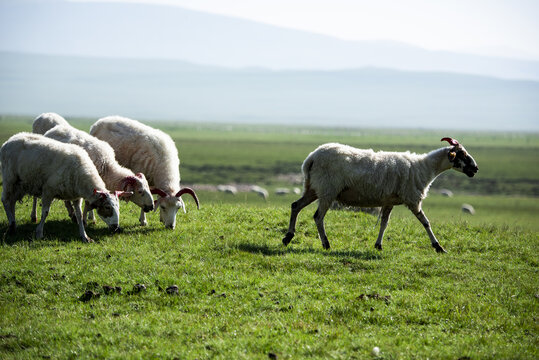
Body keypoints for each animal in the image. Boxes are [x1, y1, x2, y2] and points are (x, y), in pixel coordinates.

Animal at [280, 138, 478, 253]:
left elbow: (384, 223)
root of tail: (311, 157)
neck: (424, 168)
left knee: (295, 206)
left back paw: (288, 237)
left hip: (313, 189)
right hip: (327, 190)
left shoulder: (389, 201)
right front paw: (438, 246)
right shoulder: (412, 200)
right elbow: (426, 223)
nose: (475, 168)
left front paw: (378, 245)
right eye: (462, 154)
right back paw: (326, 244)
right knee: (318, 217)